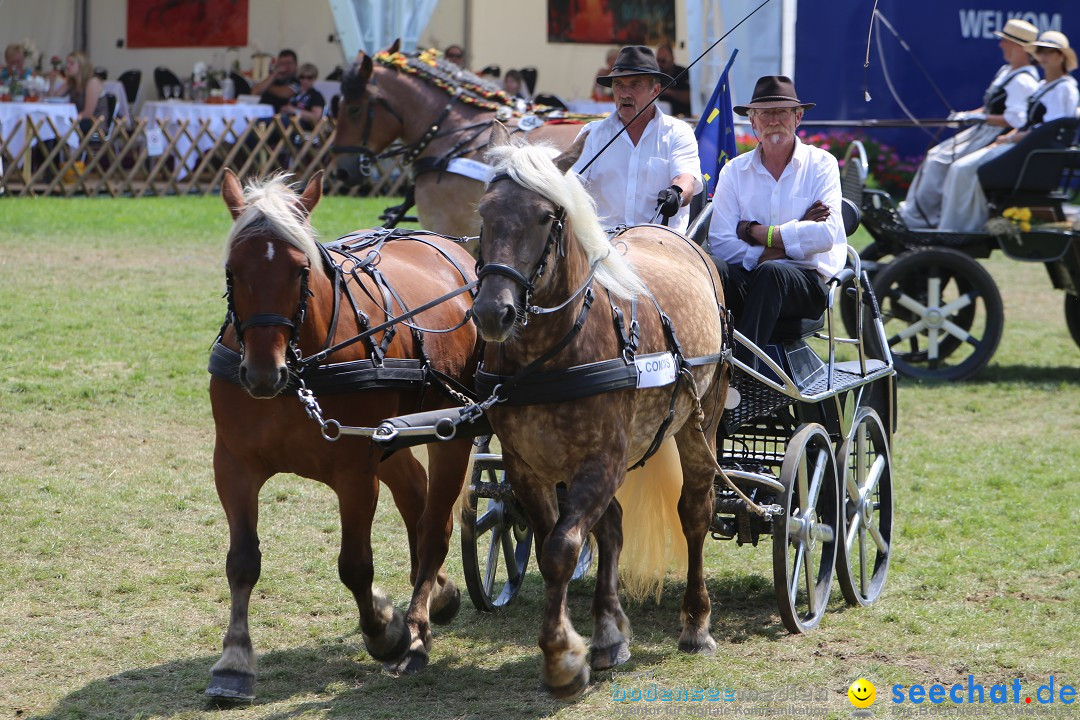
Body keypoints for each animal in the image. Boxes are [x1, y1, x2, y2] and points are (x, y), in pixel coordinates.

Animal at [206, 169, 477, 699]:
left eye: (299, 270)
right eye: (232, 269)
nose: (261, 374)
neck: (298, 374)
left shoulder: (355, 474)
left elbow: (354, 566)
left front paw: (386, 632)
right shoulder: (233, 465)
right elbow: (242, 562)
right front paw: (234, 660)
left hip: (453, 429)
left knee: (434, 526)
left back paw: (418, 628)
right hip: (392, 436)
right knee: (415, 495)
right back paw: (437, 593)